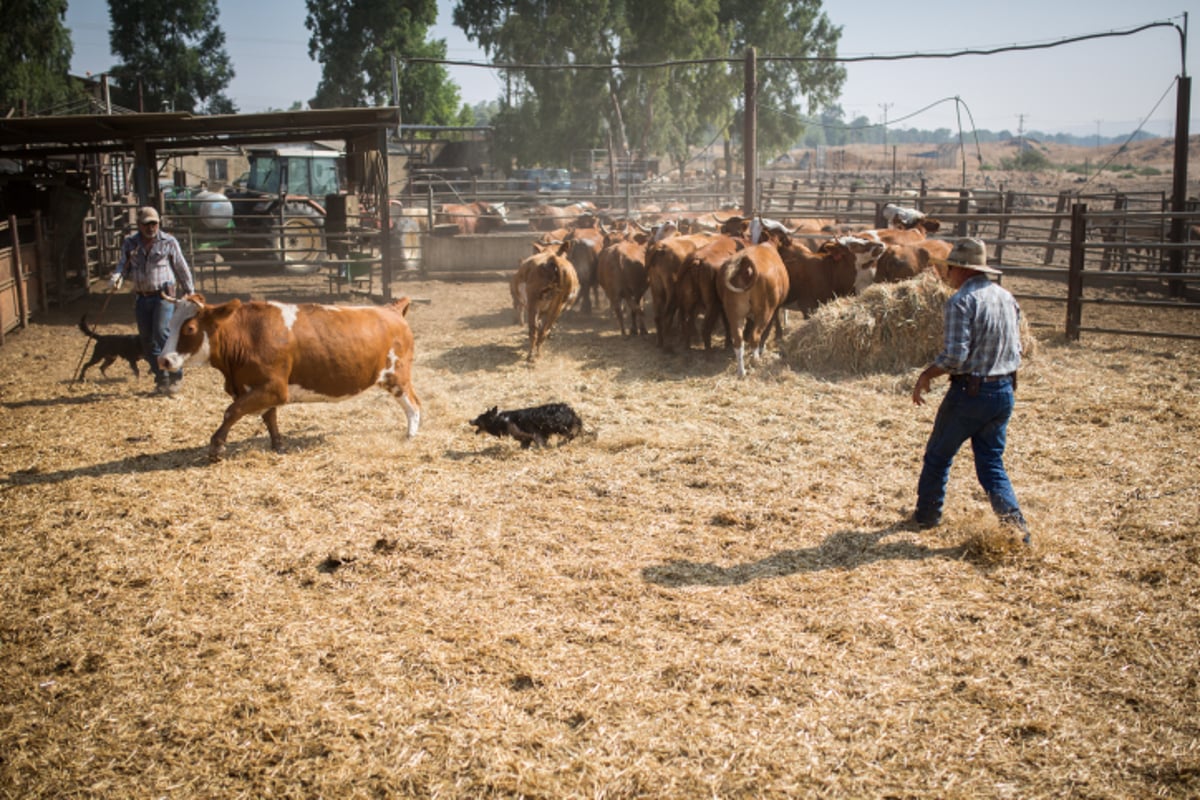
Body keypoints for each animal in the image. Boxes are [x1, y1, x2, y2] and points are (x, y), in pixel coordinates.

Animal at [159, 293, 422, 462]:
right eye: (170, 324)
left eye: (189, 328)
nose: (164, 360)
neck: (248, 334)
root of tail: (390, 309)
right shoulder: (260, 389)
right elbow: (269, 417)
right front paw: (278, 444)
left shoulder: (274, 388)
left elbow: (232, 411)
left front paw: (216, 447)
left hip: (397, 377)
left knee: (414, 404)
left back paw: (410, 435)